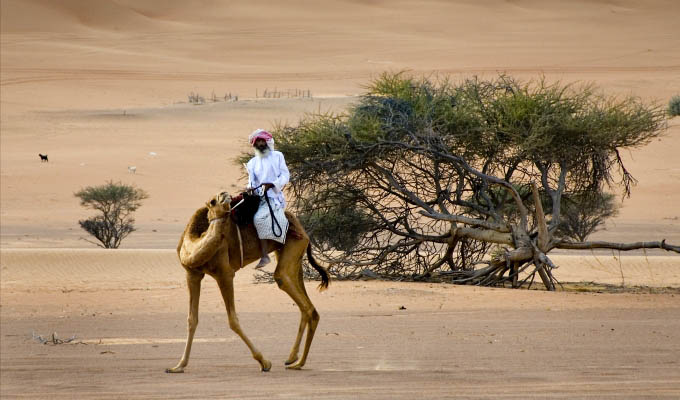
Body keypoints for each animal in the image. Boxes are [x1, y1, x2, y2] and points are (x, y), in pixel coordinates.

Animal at [165, 192, 330, 374]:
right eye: (213, 201)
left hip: (293, 246)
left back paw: (298, 363)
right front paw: (178, 366)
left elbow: (232, 320)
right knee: (304, 303)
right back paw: (293, 358)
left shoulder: (225, 274)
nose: (225, 194)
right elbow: (192, 319)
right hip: (292, 254)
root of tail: (301, 227)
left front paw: (264, 362)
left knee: (296, 294)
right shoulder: (192, 274)